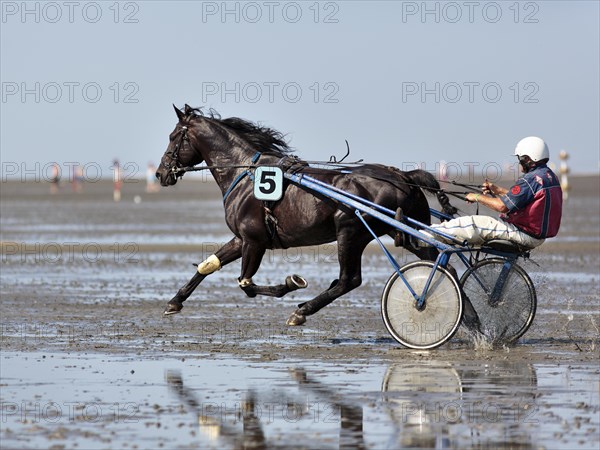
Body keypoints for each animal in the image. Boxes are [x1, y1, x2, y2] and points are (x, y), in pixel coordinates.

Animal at [155, 103, 454, 326]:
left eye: (173, 137)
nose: (160, 173)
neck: (244, 173)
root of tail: (403, 176)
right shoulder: (242, 239)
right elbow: (208, 265)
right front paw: (175, 302)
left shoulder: (254, 241)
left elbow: (246, 285)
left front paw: (291, 284)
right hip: (398, 229)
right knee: (437, 262)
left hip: (351, 232)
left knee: (349, 280)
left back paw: (302, 311)